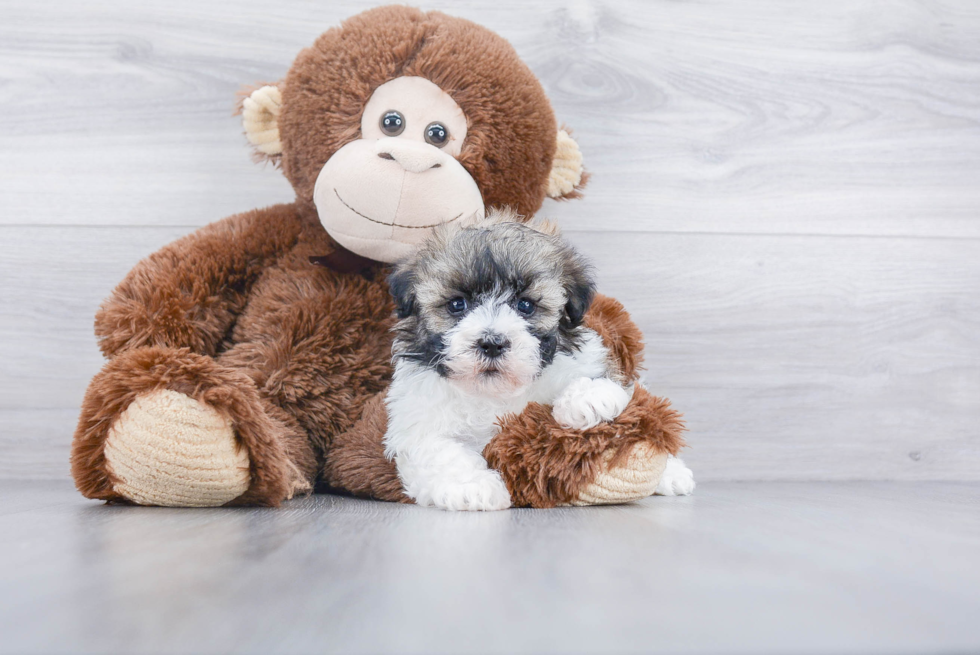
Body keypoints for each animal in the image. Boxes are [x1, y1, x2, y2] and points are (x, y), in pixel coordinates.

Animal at [382, 211, 636, 512]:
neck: (494, 391)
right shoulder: (416, 423)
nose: (492, 343)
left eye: (525, 305)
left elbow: (595, 372)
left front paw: (588, 397)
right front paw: (472, 487)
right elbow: (440, 452)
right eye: (457, 304)